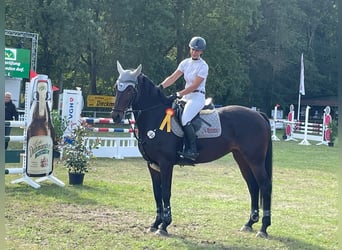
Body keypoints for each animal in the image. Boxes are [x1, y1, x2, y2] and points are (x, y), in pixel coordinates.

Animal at [111, 60, 272, 238]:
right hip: (242, 158)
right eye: (117, 87)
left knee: (265, 185)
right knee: (253, 185)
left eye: (130, 89)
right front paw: (155, 224)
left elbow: (166, 192)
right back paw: (249, 223)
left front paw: (164, 226)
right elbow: (157, 193)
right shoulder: (152, 165)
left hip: (255, 160)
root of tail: (258, 115)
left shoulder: (166, 164)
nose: (115, 116)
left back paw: (263, 228)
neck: (156, 116)